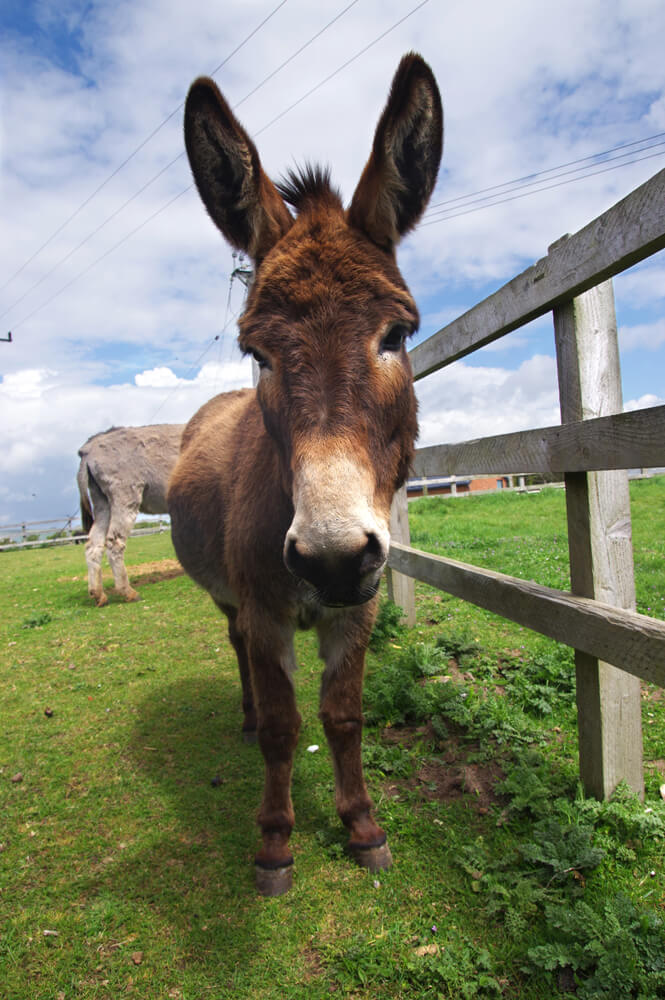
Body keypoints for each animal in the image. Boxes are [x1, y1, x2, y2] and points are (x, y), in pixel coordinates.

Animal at [77, 424, 183, 606]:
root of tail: (89, 448)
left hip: (103, 503)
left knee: (93, 546)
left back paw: (98, 594)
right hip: (125, 497)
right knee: (114, 543)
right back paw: (128, 592)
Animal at [168, 53, 443, 895]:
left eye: (397, 334)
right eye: (255, 352)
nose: (330, 557)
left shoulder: (358, 608)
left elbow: (343, 717)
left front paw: (360, 827)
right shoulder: (263, 609)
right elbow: (287, 727)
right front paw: (274, 841)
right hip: (229, 597)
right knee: (238, 658)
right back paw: (246, 713)